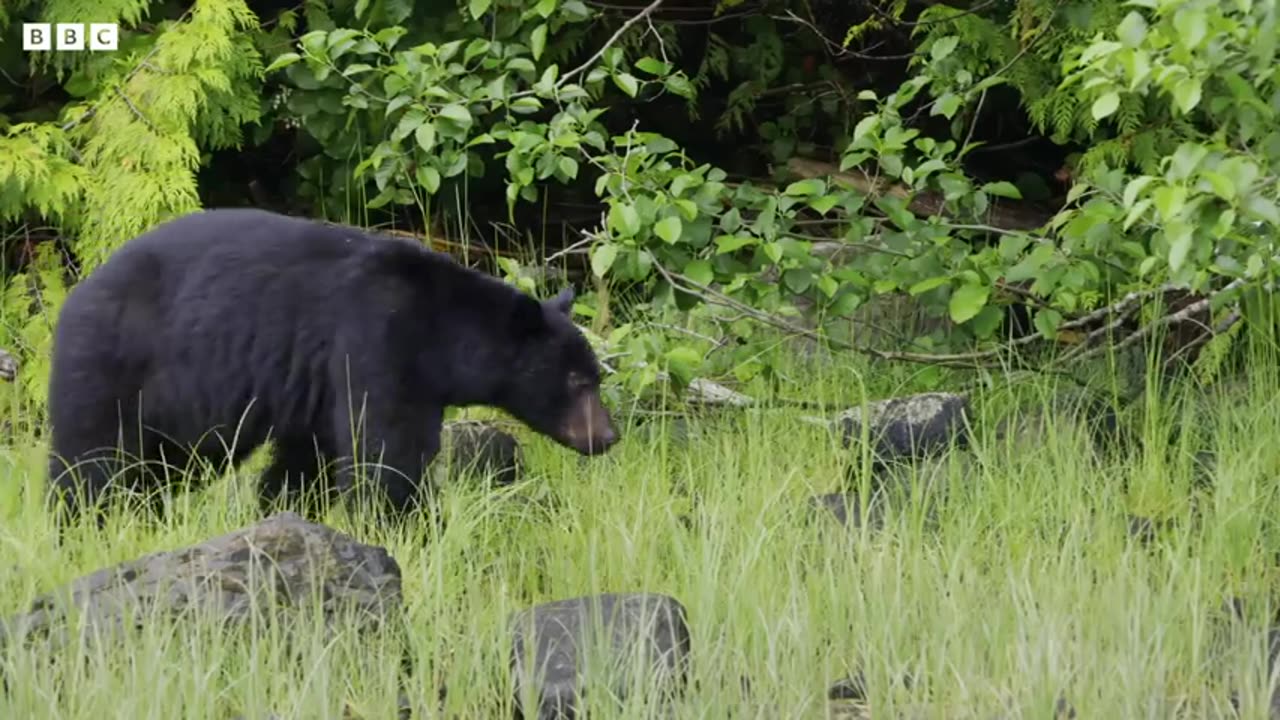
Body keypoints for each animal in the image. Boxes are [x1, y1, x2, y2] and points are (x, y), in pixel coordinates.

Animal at [52, 207, 622, 527]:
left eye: (596, 376)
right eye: (577, 380)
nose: (609, 435)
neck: (440, 329)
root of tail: (76, 293)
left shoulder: (317, 384)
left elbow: (309, 459)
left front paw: (284, 511)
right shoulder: (378, 342)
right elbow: (386, 455)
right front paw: (410, 526)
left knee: (158, 466)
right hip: (114, 364)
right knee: (91, 459)